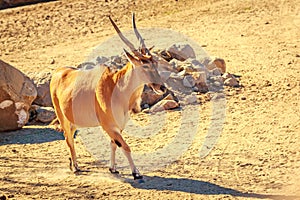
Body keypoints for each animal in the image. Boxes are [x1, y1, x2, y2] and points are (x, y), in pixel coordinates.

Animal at [50, 14, 165, 180]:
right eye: (145, 65)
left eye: (155, 62)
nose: (162, 87)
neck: (117, 88)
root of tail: (58, 73)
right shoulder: (109, 126)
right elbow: (125, 146)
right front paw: (136, 173)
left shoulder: (118, 127)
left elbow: (114, 144)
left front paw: (113, 168)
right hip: (62, 118)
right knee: (68, 137)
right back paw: (76, 167)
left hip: (73, 121)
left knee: (70, 135)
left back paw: (72, 163)